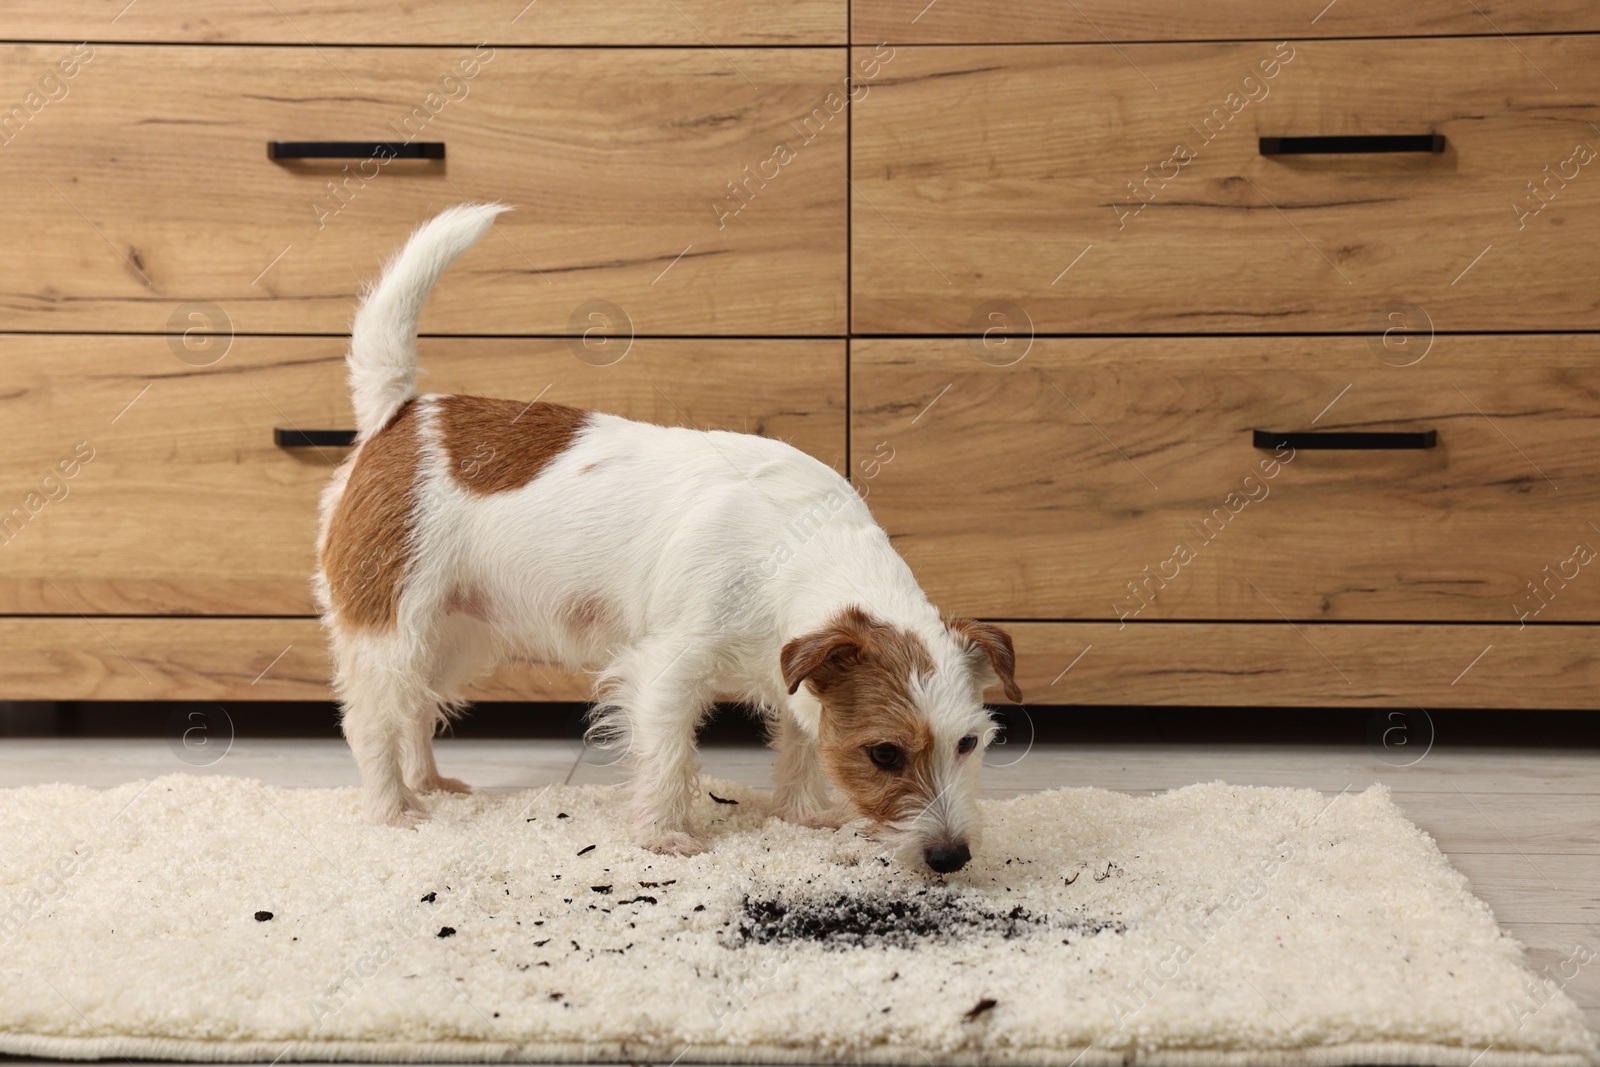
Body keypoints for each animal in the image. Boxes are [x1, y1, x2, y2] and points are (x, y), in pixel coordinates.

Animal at [315, 204, 1024, 870]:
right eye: (884, 754)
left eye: (970, 743)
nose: (951, 857)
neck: (799, 547)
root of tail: (400, 415)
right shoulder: (667, 671)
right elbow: (668, 757)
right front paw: (665, 835)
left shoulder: (791, 672)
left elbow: (799, 745)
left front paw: (802, 815)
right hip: (393, 631)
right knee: (370, 721)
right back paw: (395, 809)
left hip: (451, 637)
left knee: (414, 709)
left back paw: (429, 784)